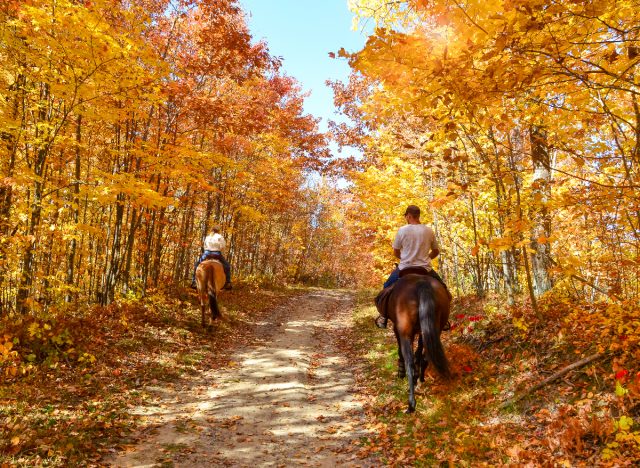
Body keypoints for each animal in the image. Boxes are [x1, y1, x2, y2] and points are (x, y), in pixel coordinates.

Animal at [384, 274, 450, 414]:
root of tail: (422, 283)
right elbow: (419, 352)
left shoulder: (399, 330)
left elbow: (402, 352)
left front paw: (401, 372)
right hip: (435, 328)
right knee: (426, 356)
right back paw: (420, 378)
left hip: (405, 332)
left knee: (409, 362)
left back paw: (411, 404)